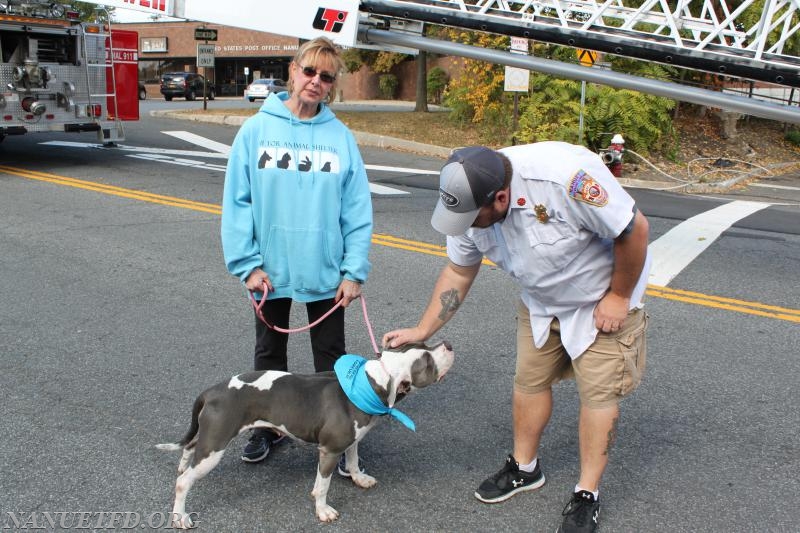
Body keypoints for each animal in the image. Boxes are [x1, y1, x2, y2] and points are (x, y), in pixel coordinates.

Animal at [156, 342, 456, 524]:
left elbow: (354, 461)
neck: (370, 383)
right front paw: (322, 510)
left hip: (207, 437)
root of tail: (212, 391)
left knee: (189, 449)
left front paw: (359, 478)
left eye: (425, 344)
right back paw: (180, 516)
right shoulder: (329, 450)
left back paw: (182, 465)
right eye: (427, 362)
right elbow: (322, 485)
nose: (448, 345)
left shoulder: (351, 440)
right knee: (183, 482)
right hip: (214, 447)